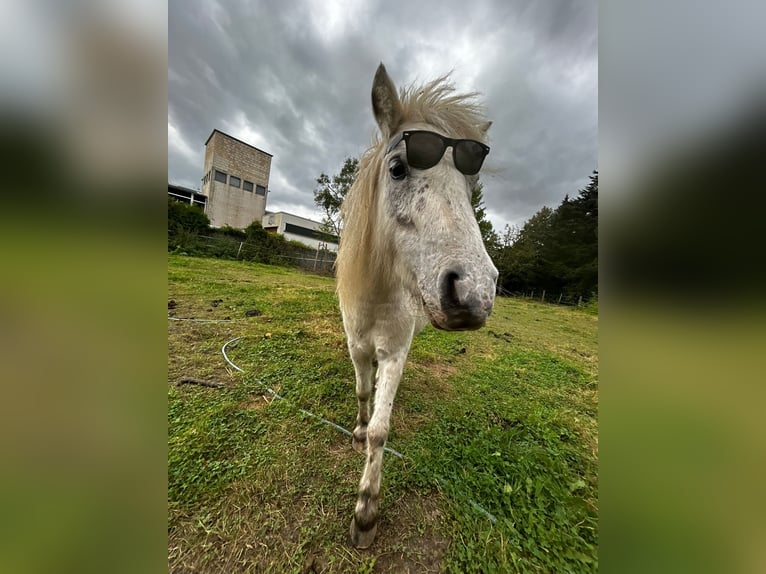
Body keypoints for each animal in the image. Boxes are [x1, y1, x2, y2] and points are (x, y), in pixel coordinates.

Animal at [336, 63, 498, 548]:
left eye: (470, 187)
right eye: (397, 168)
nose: (474, 290)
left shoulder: (394, 352)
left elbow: (381, 430)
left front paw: (366, 512)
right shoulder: (357, 348)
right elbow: (362, 393)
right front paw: (356, 429)